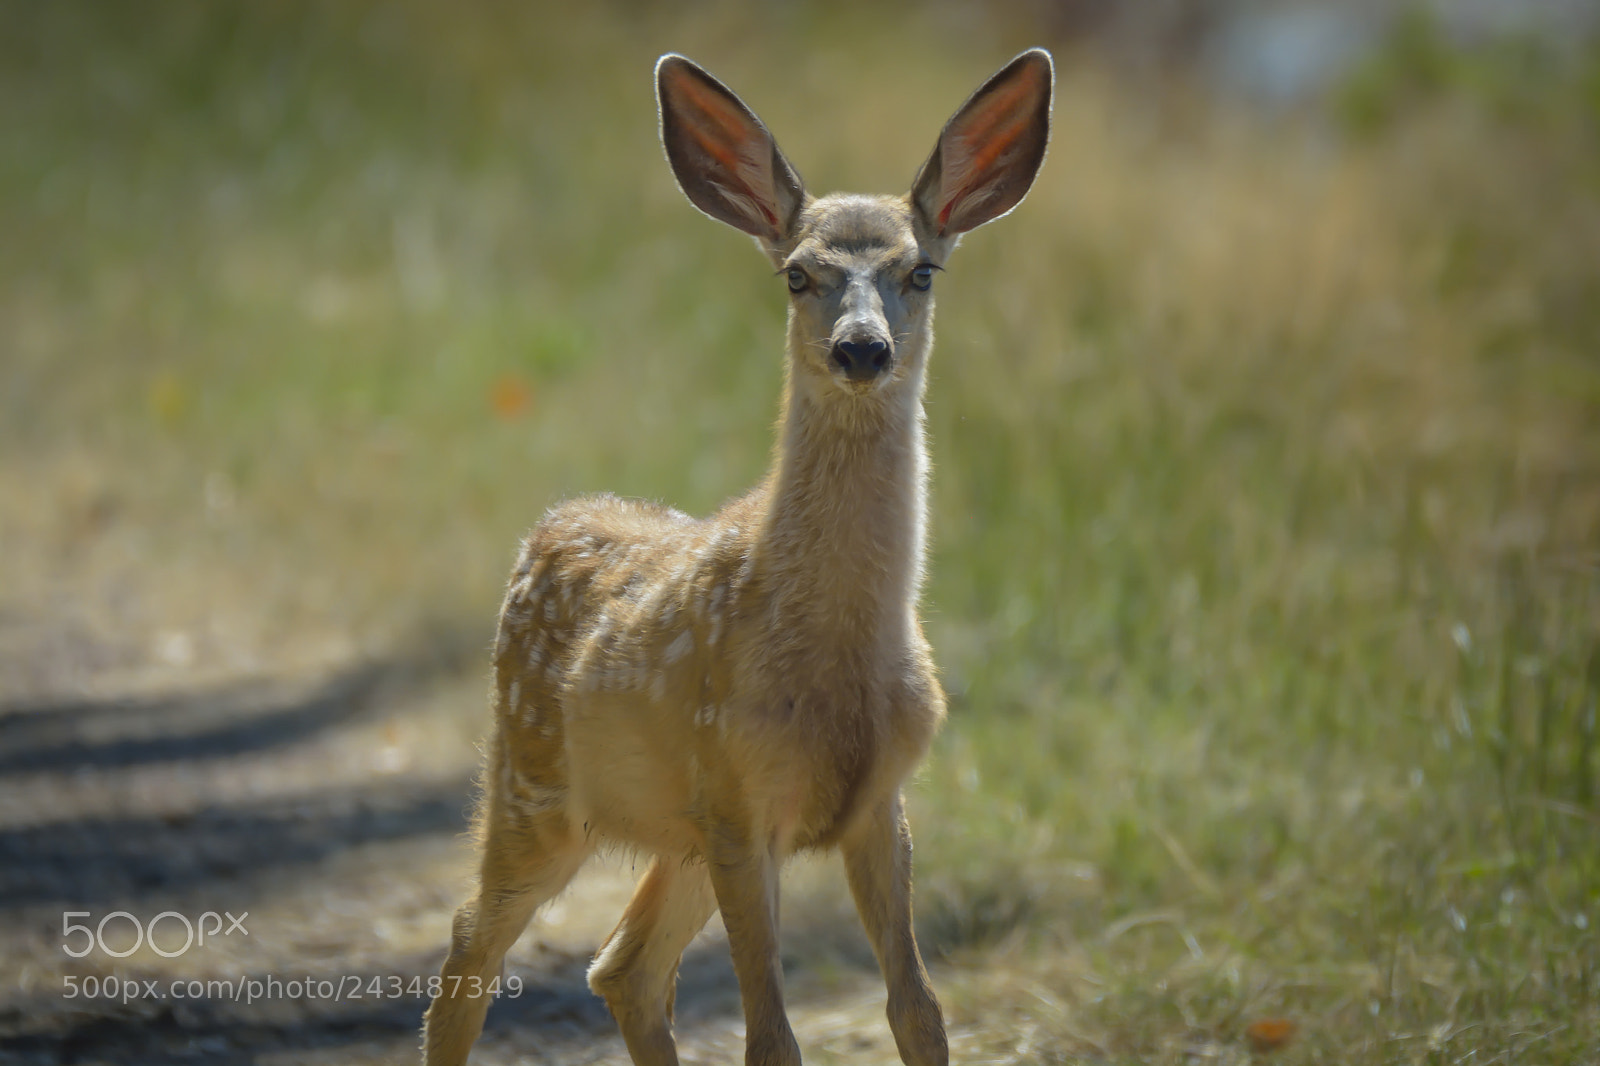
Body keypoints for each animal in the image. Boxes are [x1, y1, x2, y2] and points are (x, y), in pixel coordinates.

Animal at [421, 47, 1052, 1066]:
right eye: (797, 274)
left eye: (920, 270)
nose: (862, 349)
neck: (840, 654)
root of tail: (548, 526)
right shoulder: (737, 792)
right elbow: (771, 1038)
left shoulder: (877, 802)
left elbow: (918, 1009)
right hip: (534, 787)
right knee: (470, 946)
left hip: (670, 834)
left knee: (622, 967)